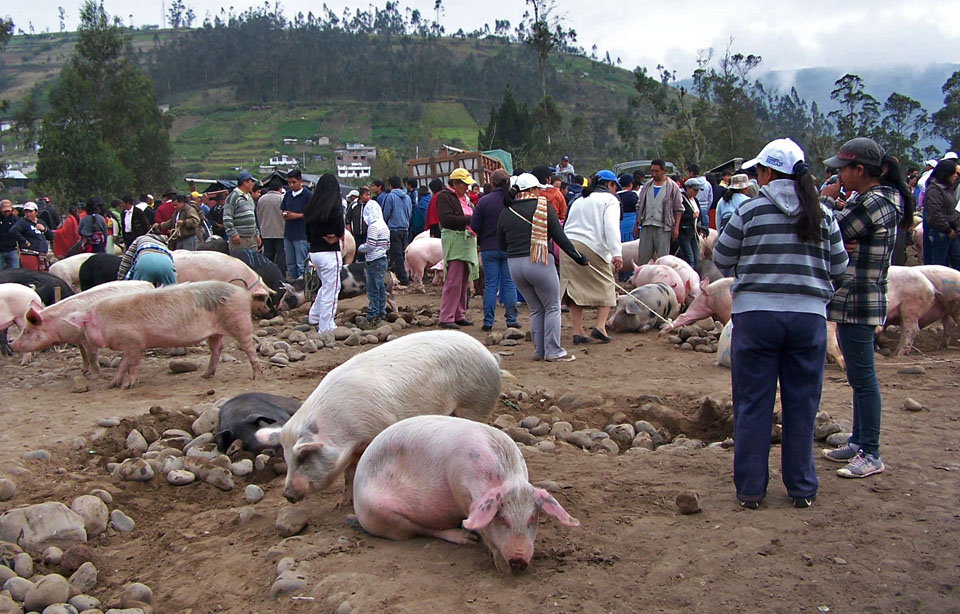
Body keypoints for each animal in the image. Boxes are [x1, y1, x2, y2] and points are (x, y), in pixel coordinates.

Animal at [10, 280, 153, 376]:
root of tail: (148, 284)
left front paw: (95, 376)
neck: (60, 325)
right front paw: (83, 371)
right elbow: (83, 354)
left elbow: (91, 356)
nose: (11, 345)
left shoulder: (88, 339)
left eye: (27, 331)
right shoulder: (78, 339)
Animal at [63, 280, 260, 390]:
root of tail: (243, 292)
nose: (81, 341)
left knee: (248, 347)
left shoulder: (135, 343)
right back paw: (205, 375)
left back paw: (255, 376)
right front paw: (112, 384)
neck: (106, 320)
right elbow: (123, 364)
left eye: (84, 325)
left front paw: (127, 386)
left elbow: (132, 365)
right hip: (215, 331)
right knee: (217, 348)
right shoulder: (129, 346)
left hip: (239, 321)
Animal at [255, 332, 502, 506]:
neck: (345, 433)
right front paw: (340, 504)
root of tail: (489, 355)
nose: (288, 495)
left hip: (476, 403)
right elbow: (348, 475)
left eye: (304, 457)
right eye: (286, 458)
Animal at [352, 416, 576, 576]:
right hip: (381, 513)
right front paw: (501, 567)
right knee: (421, 530)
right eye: (502, 518)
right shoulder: (462, 492)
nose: (518, 561)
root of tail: (355, 494)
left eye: (532, 518)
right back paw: (465, 538)